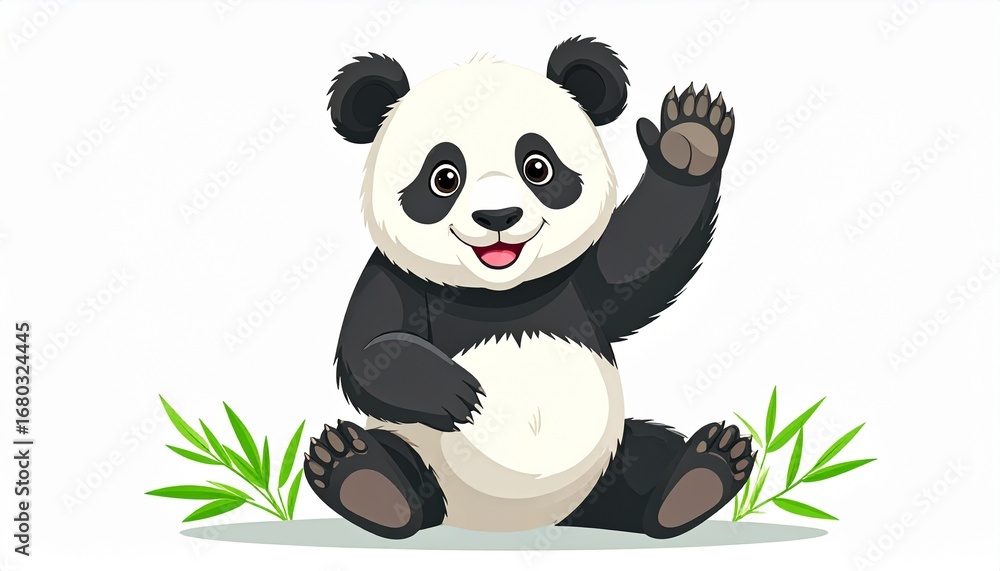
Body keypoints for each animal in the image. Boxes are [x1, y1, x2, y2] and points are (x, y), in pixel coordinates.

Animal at [304, 37, 754, 540]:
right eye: (444, 177)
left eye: (537, 167)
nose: (497, 216)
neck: (500, 292)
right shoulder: (394, 276)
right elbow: (369, 350)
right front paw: (459, 392)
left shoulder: (576, 281)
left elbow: (641, 248)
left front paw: (690, 142)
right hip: (422, 453)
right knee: (398, 466)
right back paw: (360, 474)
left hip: (609, 457)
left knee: (647, 458)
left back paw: (699, 477)